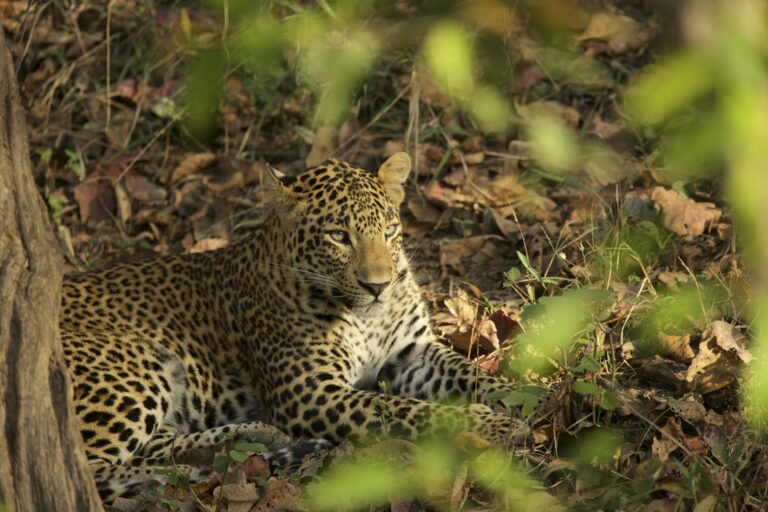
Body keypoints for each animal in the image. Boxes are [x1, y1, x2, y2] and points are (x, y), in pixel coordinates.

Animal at [60, 151, 524, 500]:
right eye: (339, 236)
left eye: (390, 231)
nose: (379, 286)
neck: (364, 318)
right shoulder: (312, 393)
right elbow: (401, 410)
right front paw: (489, 424)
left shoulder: (413, 356)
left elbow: (472, 376)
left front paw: (522, 400)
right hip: (131, 365)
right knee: (99, 469)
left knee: (161, 444)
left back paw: (254, 440)